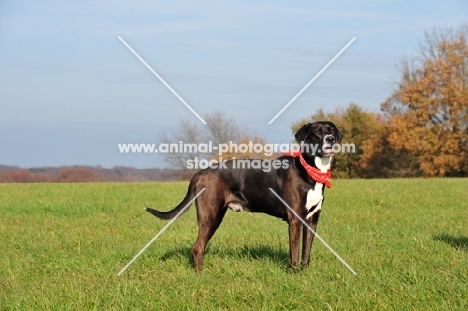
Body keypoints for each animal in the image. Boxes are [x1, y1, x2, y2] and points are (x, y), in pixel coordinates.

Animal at [147, 120, 344, 272]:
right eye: (317, 132)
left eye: (332, 130)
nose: (330, 139)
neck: (311, 169)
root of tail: (202, 171)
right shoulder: (295, 219)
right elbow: (294, 251)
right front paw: (294, 272)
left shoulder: (312, 219)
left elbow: (306, 250)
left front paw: (304, 271)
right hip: (211, 216)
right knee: (197, 248)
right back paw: (200, 275)